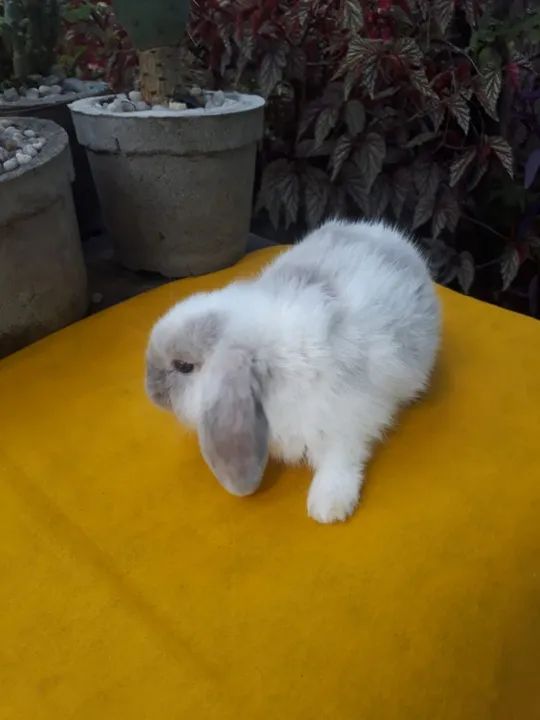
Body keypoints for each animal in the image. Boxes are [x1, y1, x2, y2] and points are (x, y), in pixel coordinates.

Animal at [145, 219, 440, 524]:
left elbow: (342, 458)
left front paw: (328, 507)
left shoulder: (346, 419)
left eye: (184, 366)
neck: (272, 359)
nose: (151, 390)